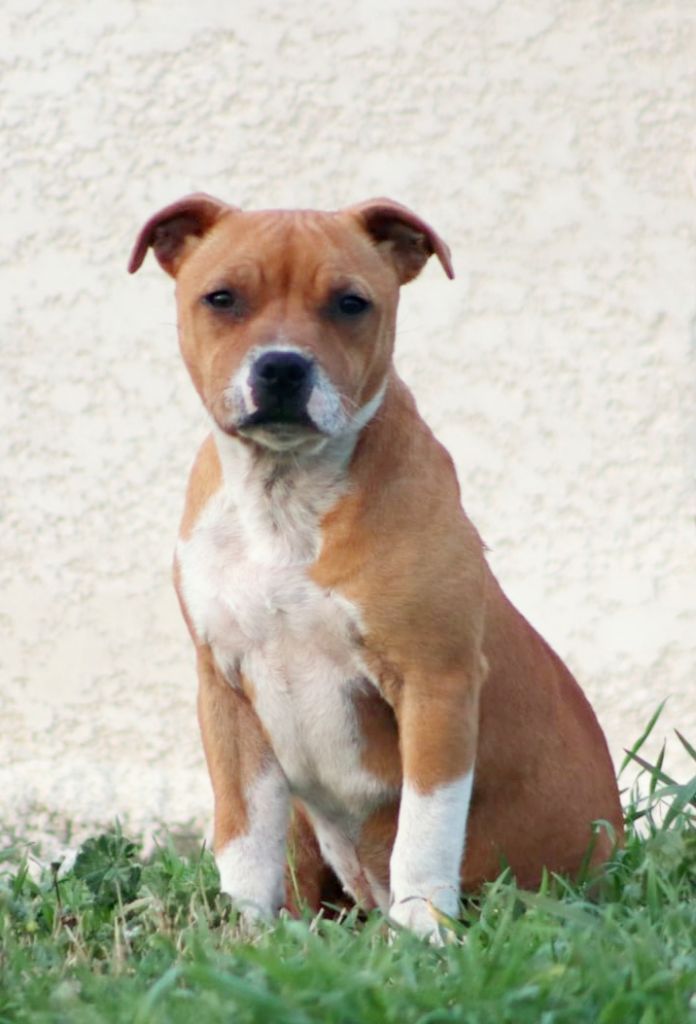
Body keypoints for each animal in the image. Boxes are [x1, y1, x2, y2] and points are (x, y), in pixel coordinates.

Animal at [129, 195, 623, 940]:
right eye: (222, 298)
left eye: (350, 303)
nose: (282, 367)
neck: (285, 498)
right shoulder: (225, 691)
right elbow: (242, 837)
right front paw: (244, 941)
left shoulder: (434, 684)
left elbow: (426, 825)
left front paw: (423, 934)